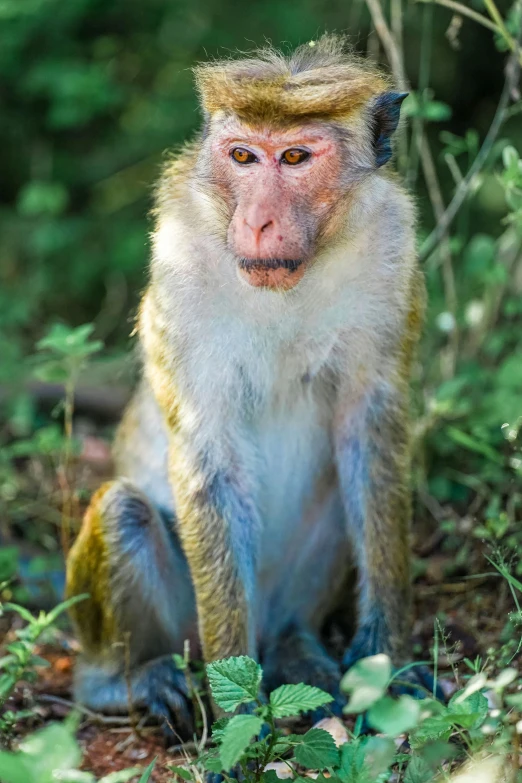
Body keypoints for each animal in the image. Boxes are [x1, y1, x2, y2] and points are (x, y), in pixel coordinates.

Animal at [66, 35, 430, 736]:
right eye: (242, 156)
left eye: (294, 157)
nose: (257, 222)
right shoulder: (180, 267)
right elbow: (210, 455)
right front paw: (240, 718)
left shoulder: (390, 247)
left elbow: (370, 428)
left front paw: (390, 658)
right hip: (182, 623)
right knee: (125, 512)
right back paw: (120, 682)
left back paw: (294, 645)